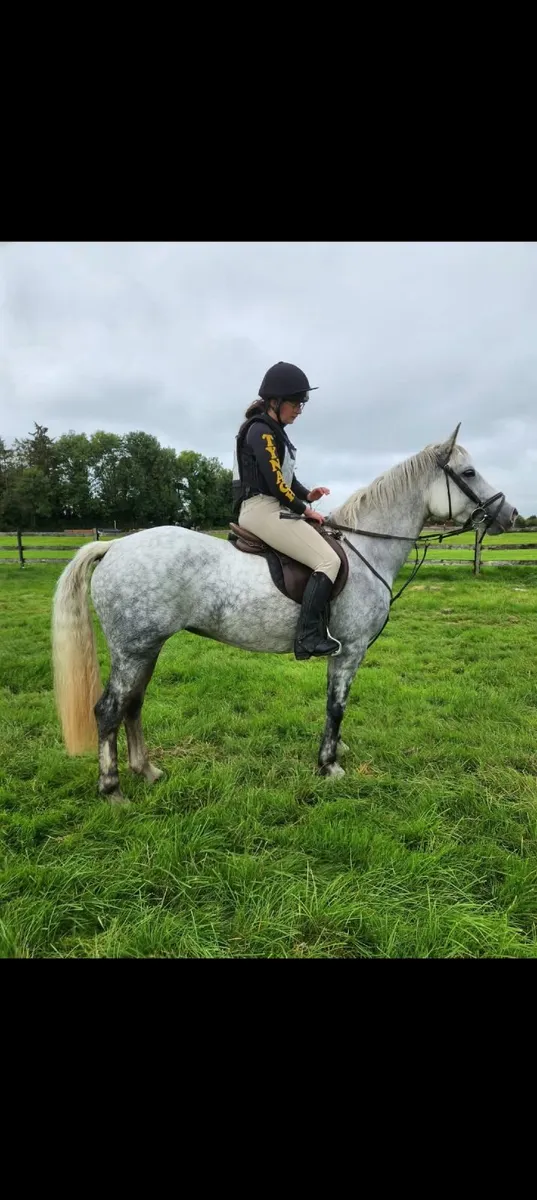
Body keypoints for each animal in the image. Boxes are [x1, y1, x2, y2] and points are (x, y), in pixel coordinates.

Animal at [51, 424, 517, 802]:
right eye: (469, 473)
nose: (510, 514)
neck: (366, 548)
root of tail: (114, 545)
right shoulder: (349, 650)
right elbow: (337, 705)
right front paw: (329, 765)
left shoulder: (344, 652)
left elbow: (334, 704)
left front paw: (335, 751)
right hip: (134, 650)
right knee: (109, 710)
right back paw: (112, 790)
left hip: (147, 648)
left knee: (132, 704)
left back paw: (146, 770)